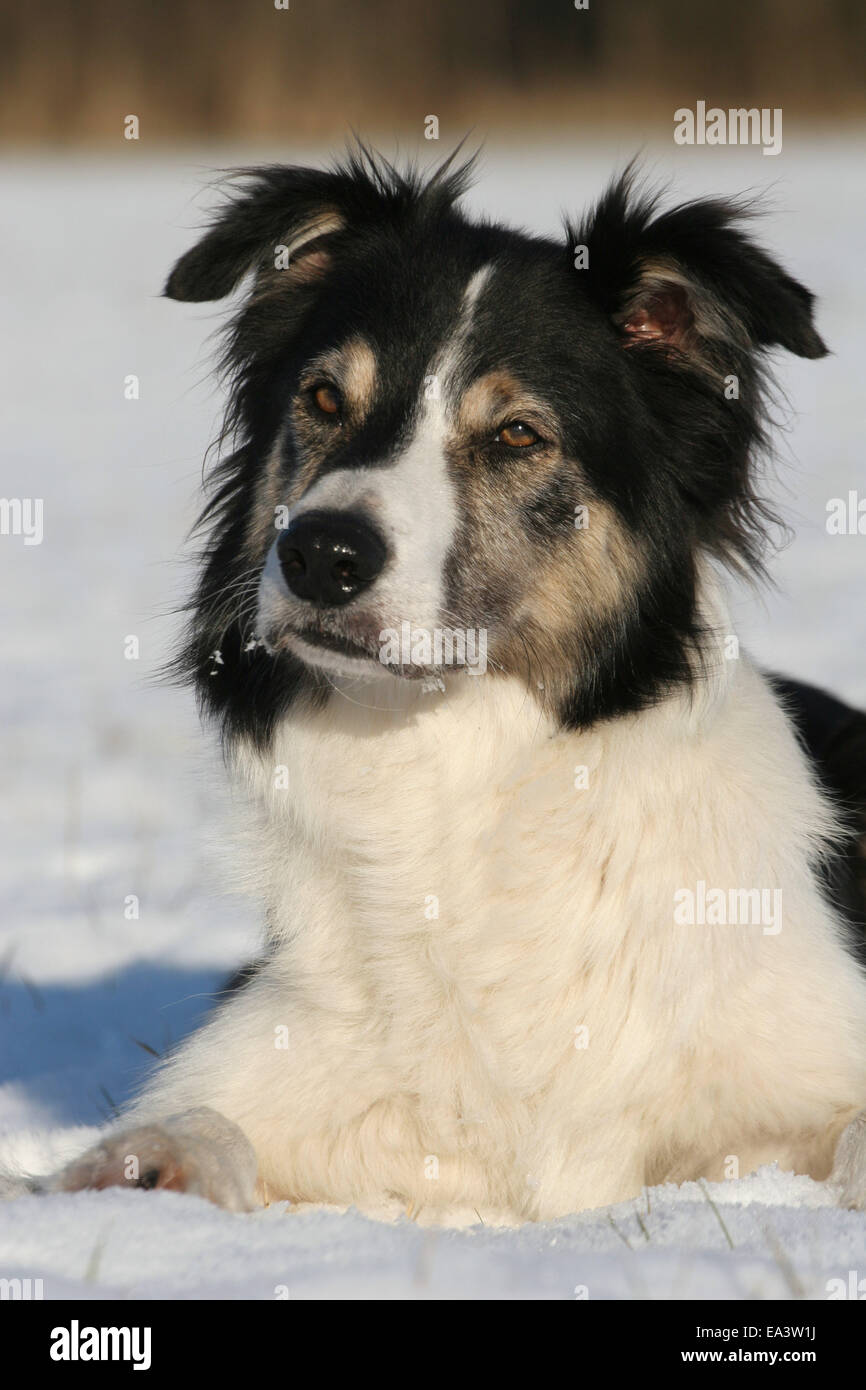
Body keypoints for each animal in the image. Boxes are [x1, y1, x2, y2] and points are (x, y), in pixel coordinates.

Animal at [27, 146, 866, 1223]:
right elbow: (204, 1119)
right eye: (323, 399)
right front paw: (137, 1167)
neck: (449, 763)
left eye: (515, 435)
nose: (320, 554)